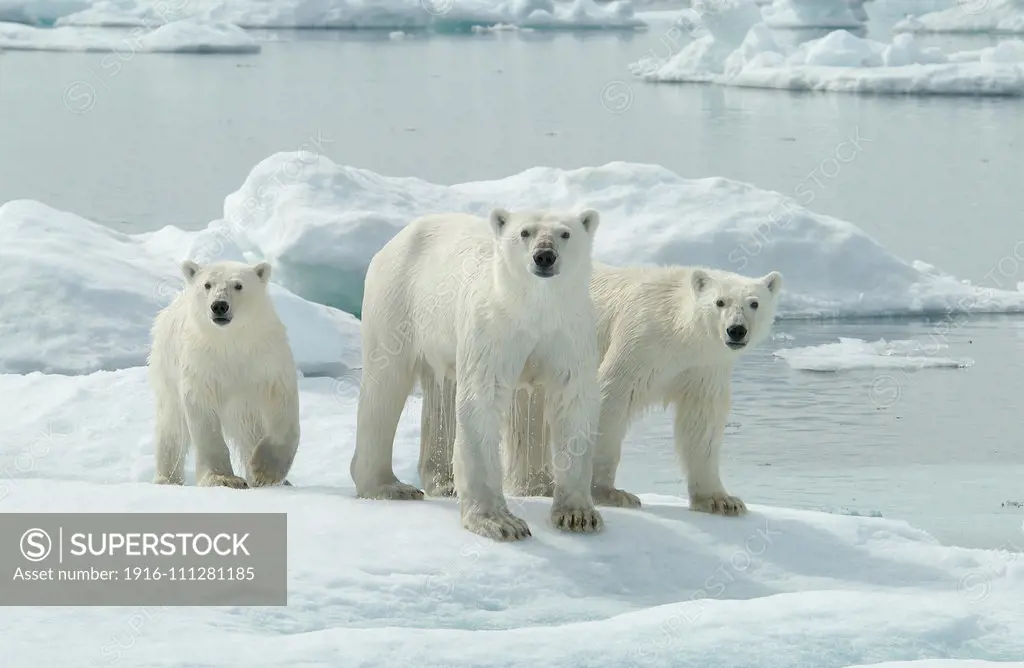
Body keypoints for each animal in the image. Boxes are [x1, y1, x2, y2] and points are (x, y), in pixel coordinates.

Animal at [149, 258, 299, 487]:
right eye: (207, 284)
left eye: (238, 285)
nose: (219, 305)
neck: (229, 340)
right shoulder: (202, 364)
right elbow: (202, 414)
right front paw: (223, 478)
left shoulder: (265, 358)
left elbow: (282, 403)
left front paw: (264, 471)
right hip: (166, 367)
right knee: (172, 426)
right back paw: (166, 478)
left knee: (249, 431)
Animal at [354, 206, 606, 540]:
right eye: (524, 232)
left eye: (565, 233)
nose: (544, 256)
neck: (534, 307)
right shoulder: (493, 328)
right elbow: (482, 398)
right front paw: (500, 522)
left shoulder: (569, 332)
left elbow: (572, 399)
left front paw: (578, 515)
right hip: (398, 302)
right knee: (385, 385)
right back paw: (388, 486)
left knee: (444, 392)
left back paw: (450, 482)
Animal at [419, 264, 778, 514]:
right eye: (719, 302)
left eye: (754, 303)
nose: (736, 330)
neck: (677, 331)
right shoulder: (639, 341)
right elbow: (610, 398)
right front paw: (609, 492)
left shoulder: (703, 369)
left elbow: (701, 423)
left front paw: (721, 500)